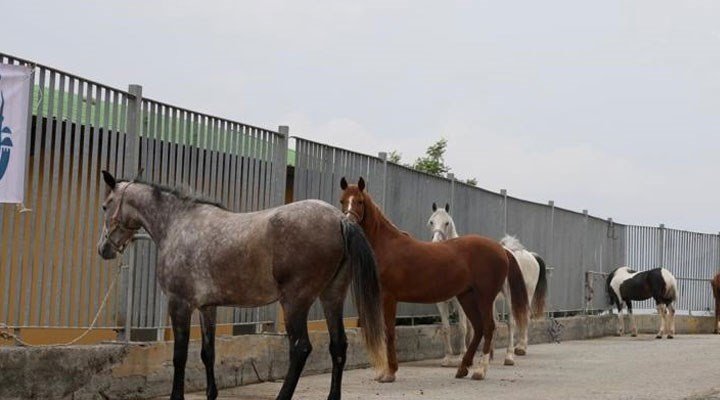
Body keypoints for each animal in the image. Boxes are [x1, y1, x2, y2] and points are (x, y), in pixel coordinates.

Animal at [100, 172, 388, 400]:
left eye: (105, 206)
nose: (104, 249)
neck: (178, 224)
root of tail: (341, 220)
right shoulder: (207, 307)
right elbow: (207, 352)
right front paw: (211, 394)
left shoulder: (179, 304)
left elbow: (179, 355)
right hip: (332, 297)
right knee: (338, 346)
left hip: (295, 302)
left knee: (300, 348)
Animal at [338, 177, 528, 382]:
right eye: (342, 201)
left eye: (359, 201)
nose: (348, 223)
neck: (387, 246)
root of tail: (501, 249)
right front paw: (384, 372)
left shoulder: (389, 297)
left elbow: (389, 332)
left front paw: (390, 372)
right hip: (467, 297)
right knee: (478, 328)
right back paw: (462, 368)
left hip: (485, 297)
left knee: (489, 326)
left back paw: (480, 370)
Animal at [428, 203, 544, 366]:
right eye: (431, 222)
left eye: (447, 223)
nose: (436, 243)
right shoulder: (441, 303)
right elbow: (446, 328)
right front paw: (448, 358)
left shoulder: (460, 302)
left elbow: (463, 327)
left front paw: (462, 356)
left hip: (518, 295)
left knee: (515, 321)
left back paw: (515, 352)